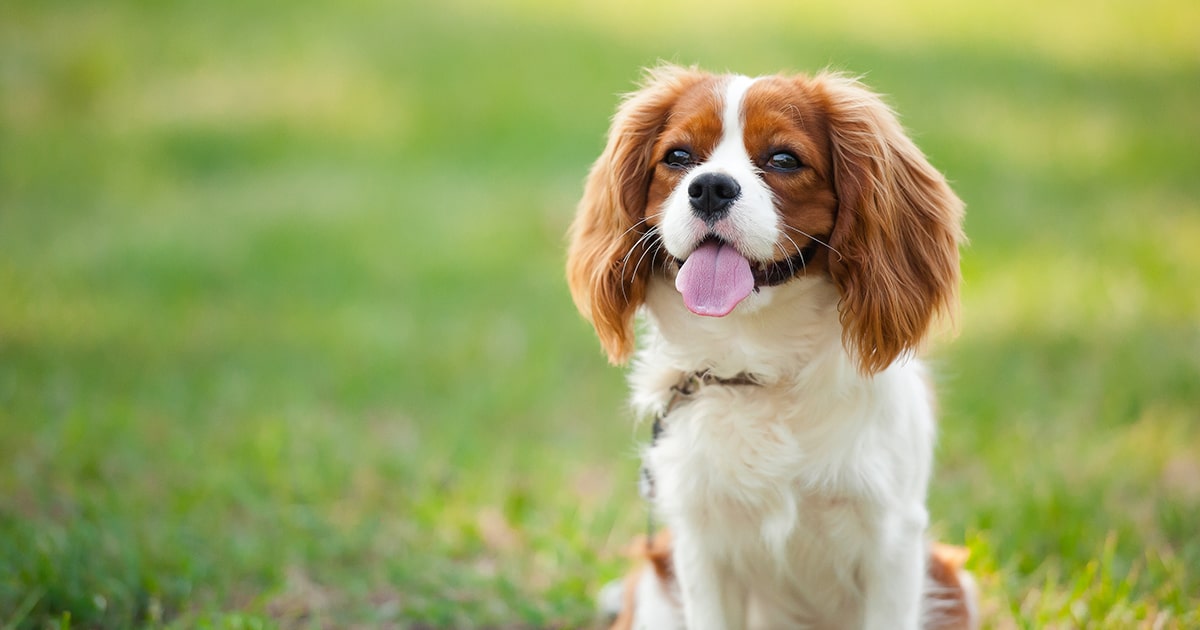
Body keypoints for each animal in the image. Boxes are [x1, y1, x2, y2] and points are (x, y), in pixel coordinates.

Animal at [568, 66, 974, 624]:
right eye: (677, 157)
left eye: (783, 159)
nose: (710, 188)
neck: (757, 367)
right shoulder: (700, 545)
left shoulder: (892, 542)